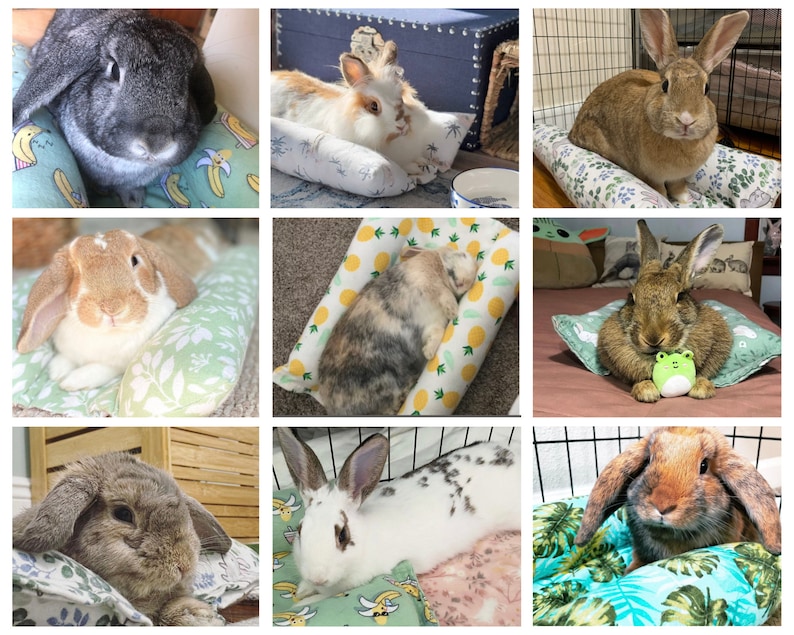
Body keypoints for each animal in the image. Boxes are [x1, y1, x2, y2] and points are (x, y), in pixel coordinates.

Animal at [15, 224, 220, 391]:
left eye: (135, 260)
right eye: (77, 272)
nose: (112, 308)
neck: (107, 333)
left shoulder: (118, 364)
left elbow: (101, 369)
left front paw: (71, 381)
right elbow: (66, 357)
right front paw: (56, 370)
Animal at [271, 40, 435, 183]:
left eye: (401, 98)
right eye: (374, 106)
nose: (401, 126)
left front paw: (423, 161)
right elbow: (407, 166)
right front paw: (416, 168)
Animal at [275, 427, 520, 603]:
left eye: (343, 535)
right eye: (300, 530)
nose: (317, 576)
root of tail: (512, 452)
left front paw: (302, 602)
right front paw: (302, 590)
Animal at [318, 245, 478, 415]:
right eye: (463, 254)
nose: (466, 283)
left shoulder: (433, 324)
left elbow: (438, 333)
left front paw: (428, 351)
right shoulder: (425, 279)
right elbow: (443, 293)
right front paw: (453, 310)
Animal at [568, 9, 749, 204]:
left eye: (706, 89)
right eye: (665, 85)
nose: (686, 119)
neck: (680, 141)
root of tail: (572, 130)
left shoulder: (678, 177)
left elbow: (678, 187)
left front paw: (685, 199)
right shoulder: (650, 176)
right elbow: (659, 190)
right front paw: (667, 201)